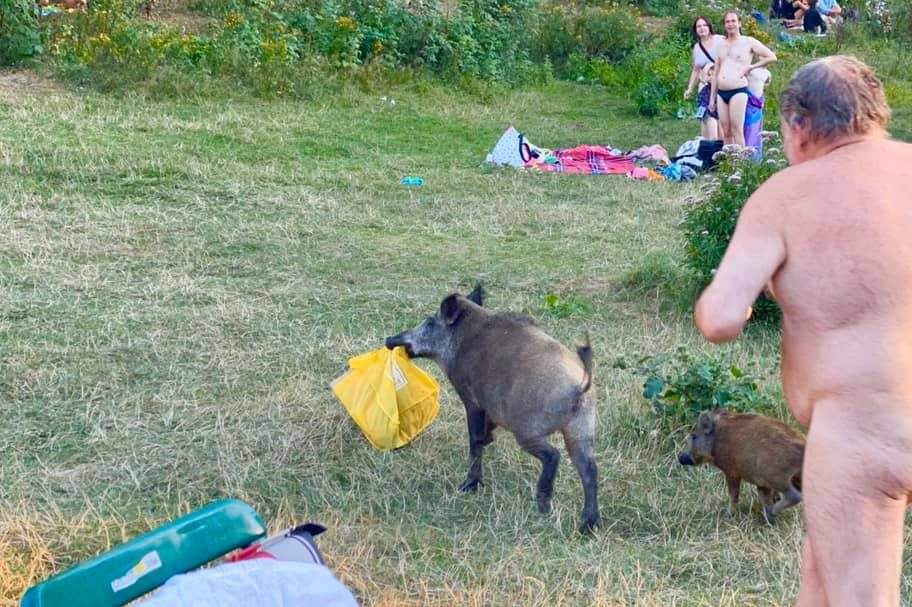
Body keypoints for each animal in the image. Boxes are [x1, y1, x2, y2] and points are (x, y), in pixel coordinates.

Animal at [385, 286, 600, 534]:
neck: (459, 343)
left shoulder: (471, 399)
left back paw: (543, 507)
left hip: (527, 429)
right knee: (589, 469)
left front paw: (468, 486)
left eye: (430, 321)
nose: (389, 340)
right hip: (581, 430)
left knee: (553, 455)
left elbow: (475, 439)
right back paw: (588, 526)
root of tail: (580, 385)